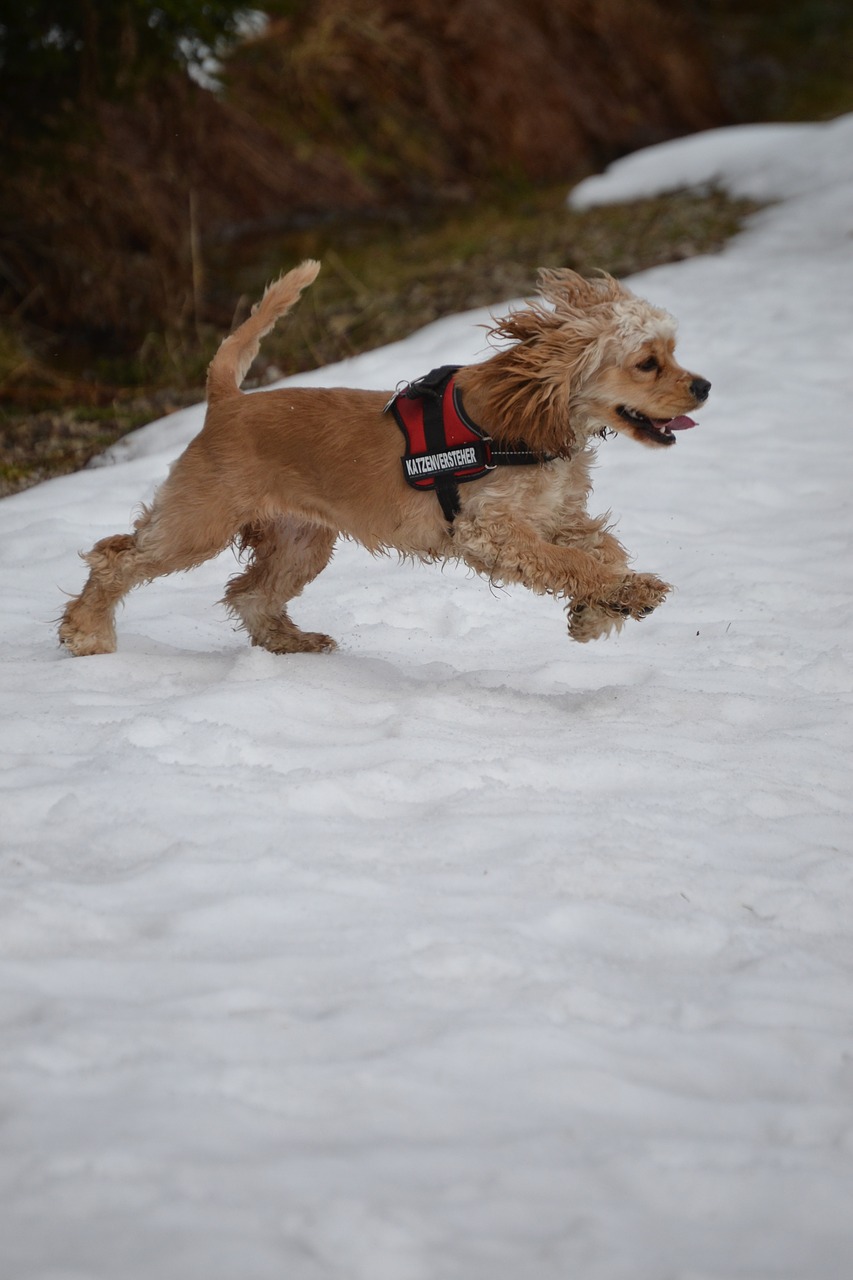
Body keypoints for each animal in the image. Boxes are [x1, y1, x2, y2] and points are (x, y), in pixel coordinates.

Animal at [59, 262, 706, 660]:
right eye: (647, 362)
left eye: (673, 352)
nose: (702, 387)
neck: (532, 412)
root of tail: (227, 402)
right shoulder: (493, 531)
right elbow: (574, 564)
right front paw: (627, 593)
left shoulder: (559, 517)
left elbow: (602, 549)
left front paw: (596, 613)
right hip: (198, 524)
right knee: (115, 558)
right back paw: (87, 633)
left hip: (302, 541)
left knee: (249, 593)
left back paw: (293, 644)